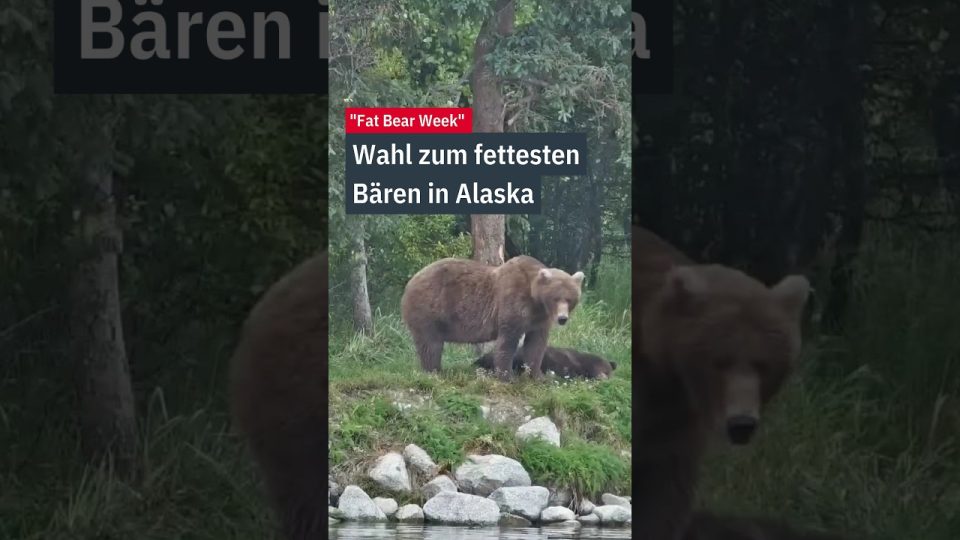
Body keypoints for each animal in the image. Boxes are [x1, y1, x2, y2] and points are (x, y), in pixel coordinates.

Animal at [400, 255, 585, 380]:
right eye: (556, 298)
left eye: (570, 299)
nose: (562, 318)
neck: (535, 300)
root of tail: (411, 282)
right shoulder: (513, 302)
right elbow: (508, 340)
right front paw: (507, 375)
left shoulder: (539, 318)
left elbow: (536, 344)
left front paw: (538, 376)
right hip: (430, 308)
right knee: (431, 344)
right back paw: (434, 371)